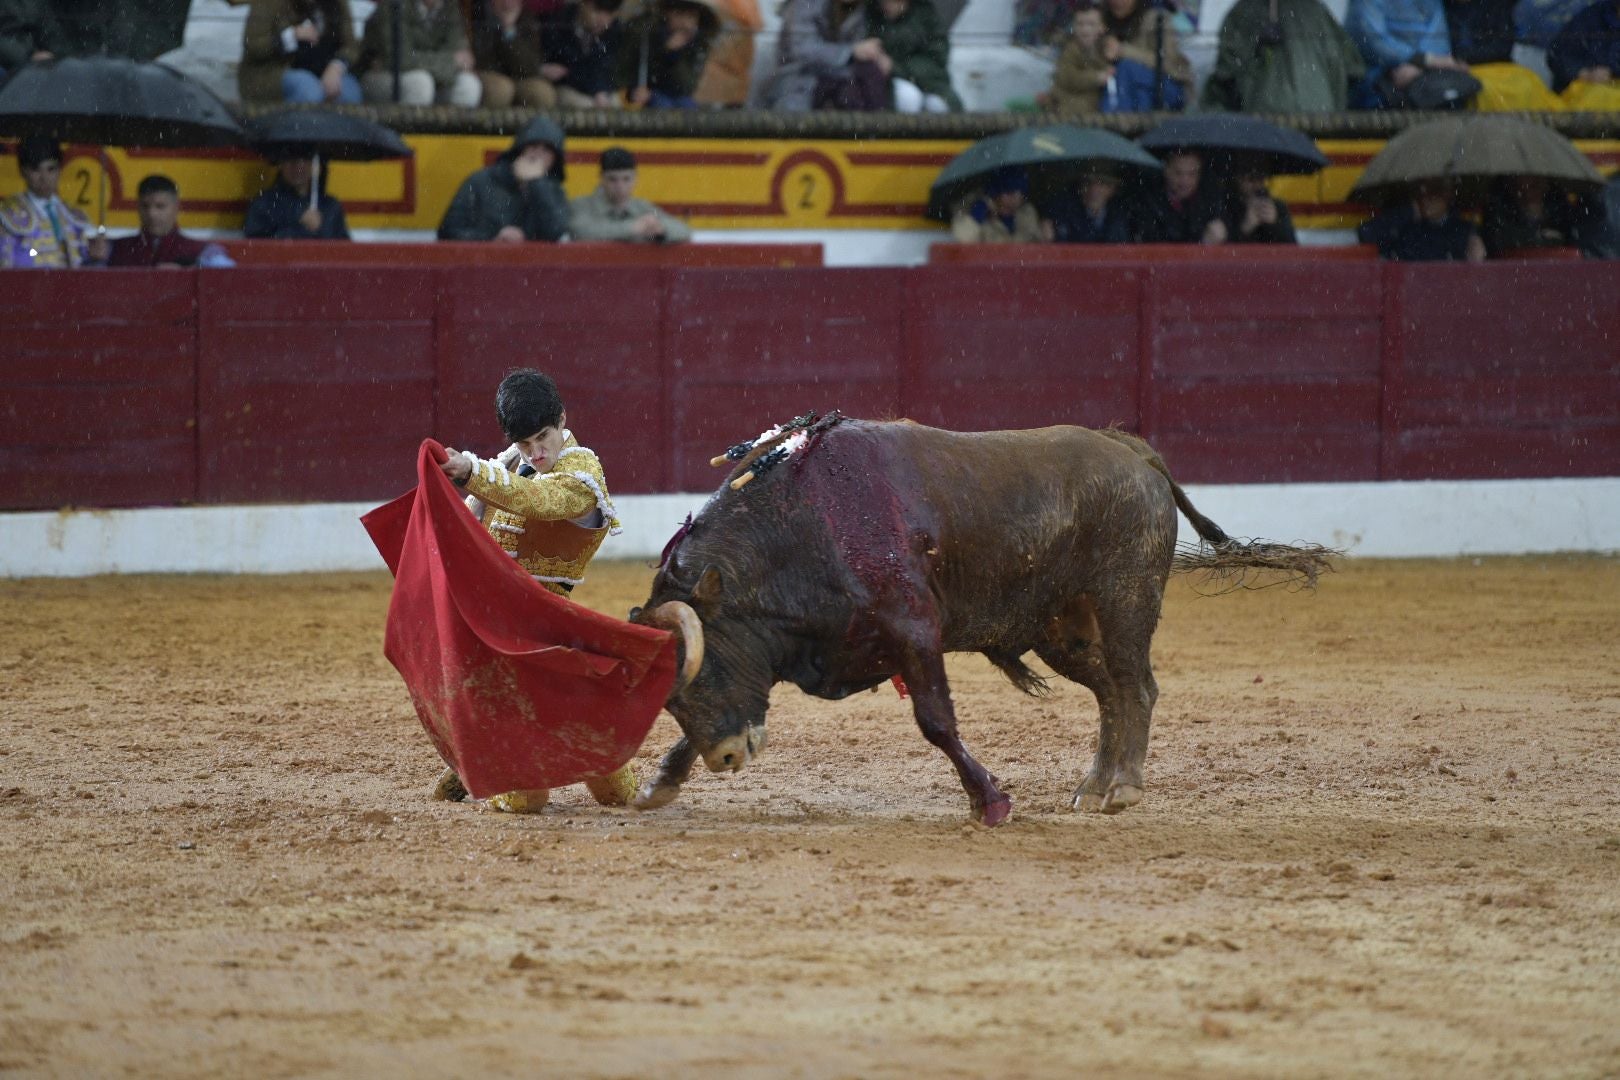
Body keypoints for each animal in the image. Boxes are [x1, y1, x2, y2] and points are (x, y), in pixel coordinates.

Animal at [631, 417, 1328, 829]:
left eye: (707, 668)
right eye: (671, 695)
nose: (725, 757)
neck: (803, 523)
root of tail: (1131, 450)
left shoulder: (915, 631)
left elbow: (937, 722)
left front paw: (990, 801)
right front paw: (660, 784)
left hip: (1126, 599)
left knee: (1137, 686)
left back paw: (1124, 788)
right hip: (1059, 631)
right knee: (1110, 691)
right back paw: (1093, 786)